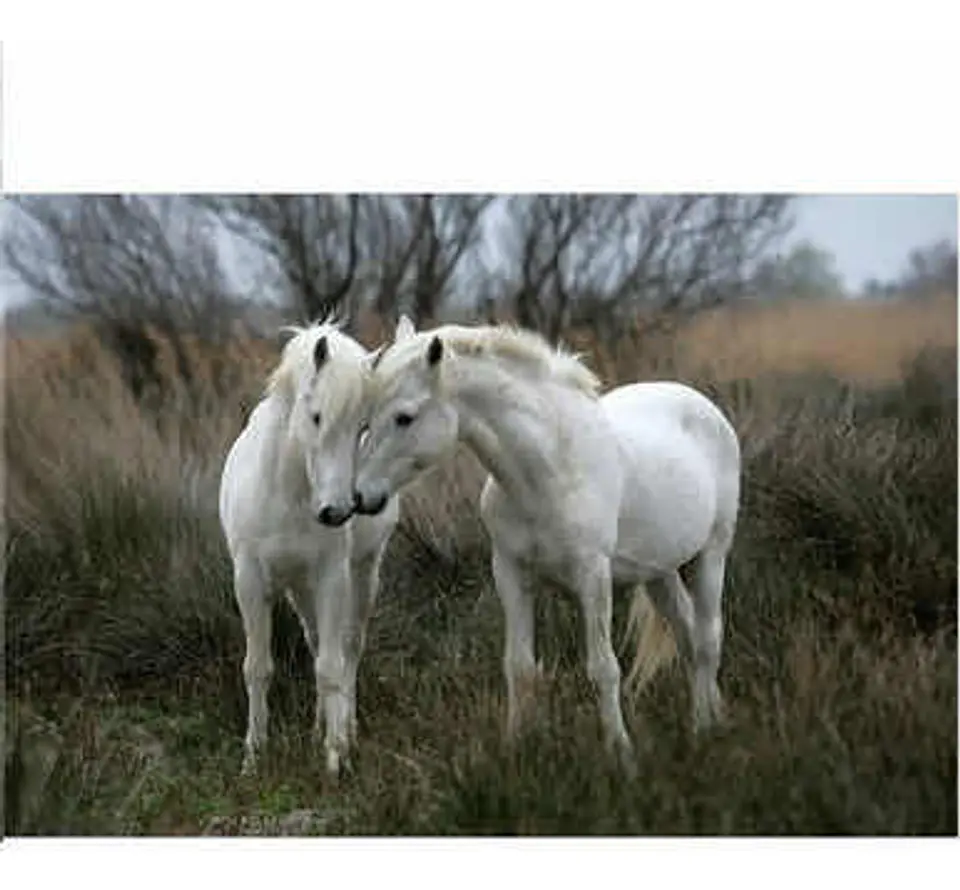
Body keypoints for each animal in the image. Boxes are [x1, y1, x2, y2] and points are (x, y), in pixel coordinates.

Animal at [219, 320, 399, 776]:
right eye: (316, 416)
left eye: (362, 426)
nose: (337, 511)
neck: (288, 493)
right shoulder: (250, 580)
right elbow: (258, 668)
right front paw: (253, 756)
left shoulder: (332, 576)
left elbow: (333, 667)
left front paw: (336, 759)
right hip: (300, 587)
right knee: (317, 641)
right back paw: (318, 726)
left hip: (361, 573)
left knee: (348, 648)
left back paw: (345, 729)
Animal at [353, 316, 741, 769]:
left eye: (404, 417)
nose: (360, 497)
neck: (549, 469)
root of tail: (701, 404)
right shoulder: (510, 573)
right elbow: (519, 668)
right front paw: (516, 750)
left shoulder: (593, 576)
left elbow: (604, 668)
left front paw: (621, 754)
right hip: (658, 572)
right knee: (687, 636)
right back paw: (712, 715)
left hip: (712, 554)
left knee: (707, 640)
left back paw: (703, 728)